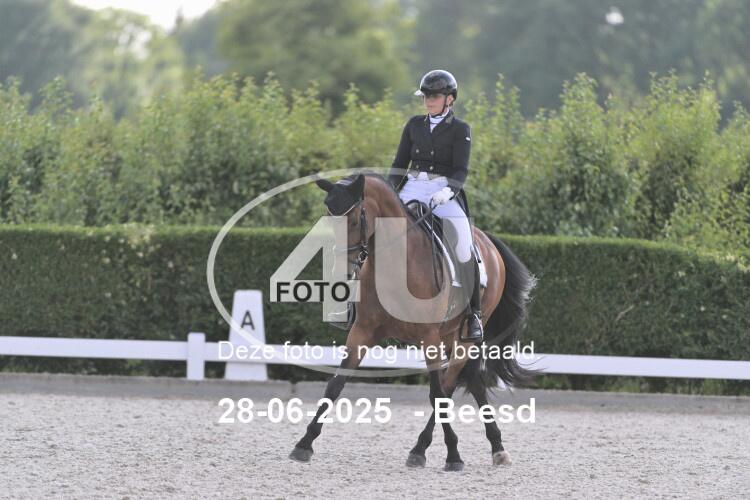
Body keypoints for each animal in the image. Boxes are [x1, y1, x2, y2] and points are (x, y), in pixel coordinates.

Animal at [289, 172, 537, 471]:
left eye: (355, 219)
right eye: (328, 217)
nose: (343, 272)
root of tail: (487, 241)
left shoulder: (428, 337)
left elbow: (437, 393)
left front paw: (453, 455)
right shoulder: (363, 331)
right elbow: (335, 384)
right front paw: (304, 444)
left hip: (464, 336)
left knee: (449, 386)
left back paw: (430, 447)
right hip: (448, 336)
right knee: (471, 381)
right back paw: (492, 447)